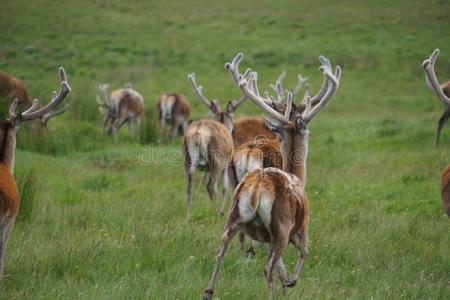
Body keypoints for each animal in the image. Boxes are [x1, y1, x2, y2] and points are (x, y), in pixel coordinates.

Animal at [202, 52, 340, 298]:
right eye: (309, 132)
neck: (297, 177)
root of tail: (256, 190)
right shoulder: (302, 226)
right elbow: (305, 252)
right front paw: (291, 282)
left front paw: (286, 282)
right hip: (281, 226)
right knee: (267, 267)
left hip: (234, 216)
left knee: (220, 251)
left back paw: (208, 291)